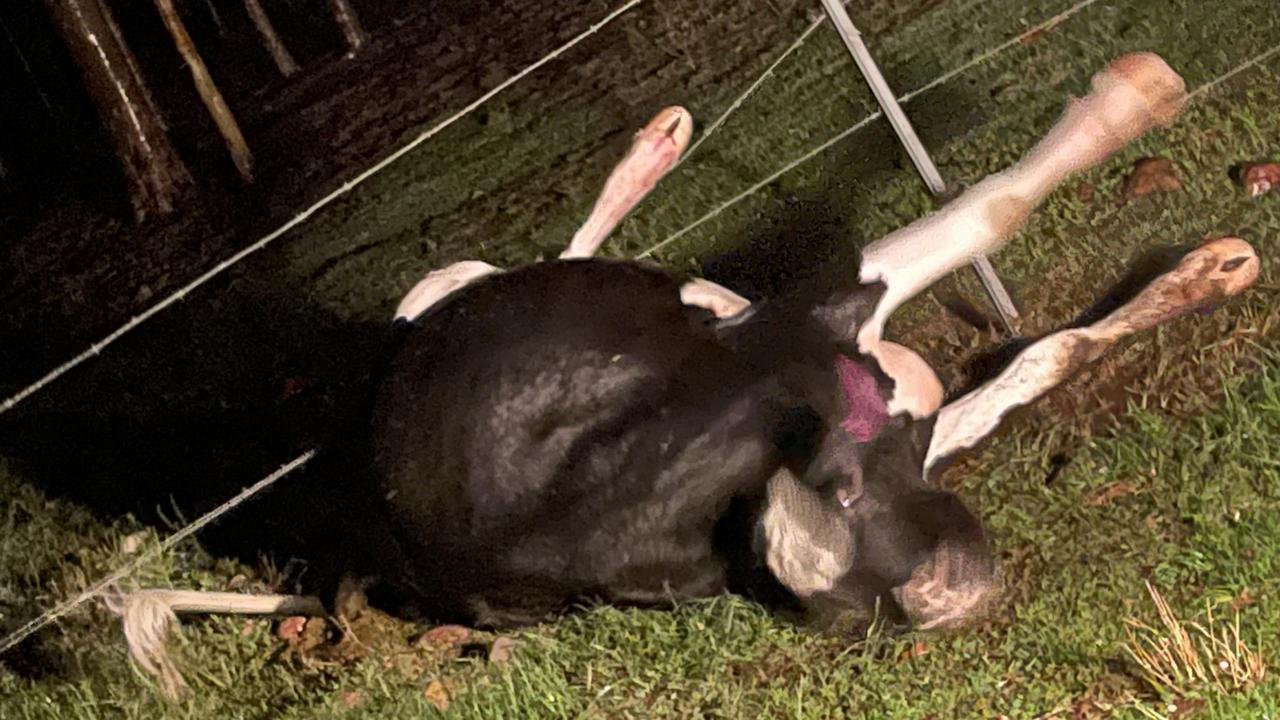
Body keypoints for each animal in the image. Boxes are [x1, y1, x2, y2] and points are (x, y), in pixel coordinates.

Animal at [102, 51, 1259, 696]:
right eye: (876, 598)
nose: (953, 586)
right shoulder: (811, 318)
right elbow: (988, 215)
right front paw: (1131, 110)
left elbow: (1039, 351)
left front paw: (1199, 269)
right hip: (458, 287)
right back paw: (651, 154)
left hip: (468, 292)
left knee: (559, 253)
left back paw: (654, 147)